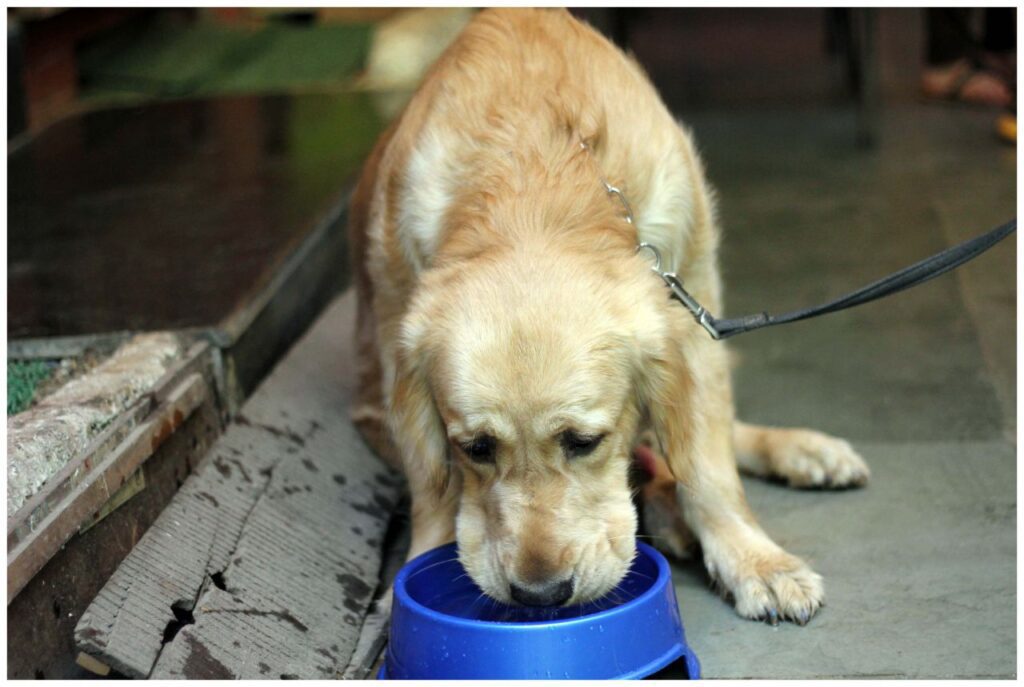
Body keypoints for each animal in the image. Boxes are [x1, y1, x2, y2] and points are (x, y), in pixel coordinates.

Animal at [348, 8, 868, 626]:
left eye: (584, 441)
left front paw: (755, 561)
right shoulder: (393, 323)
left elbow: (708, 465)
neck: (534, 173)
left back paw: (799, 452)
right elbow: (433, 488)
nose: (540, 595)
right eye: (476, 449)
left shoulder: (694, 308)